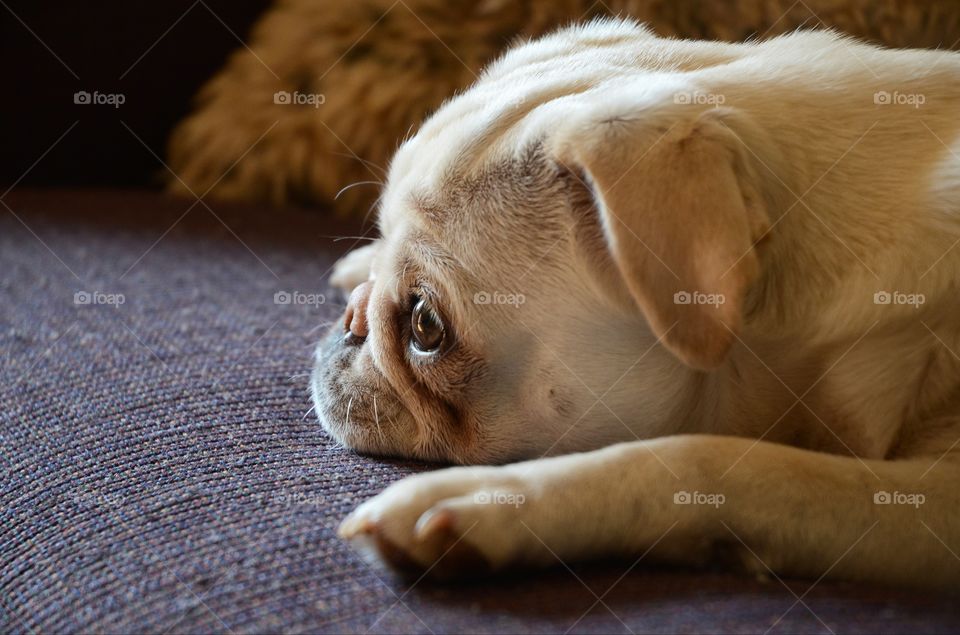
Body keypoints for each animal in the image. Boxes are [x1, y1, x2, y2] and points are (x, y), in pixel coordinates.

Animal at [312, 18, 960, 592]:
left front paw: (495, 504)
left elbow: (718, 461)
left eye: (426, 325)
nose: (351, 320)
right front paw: (360, 264)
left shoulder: (917, 501)